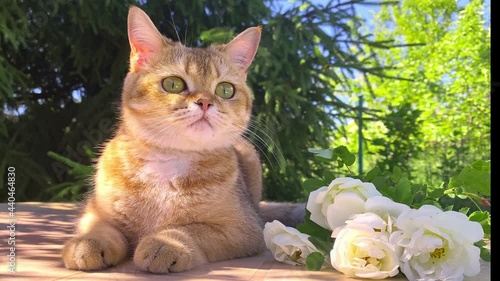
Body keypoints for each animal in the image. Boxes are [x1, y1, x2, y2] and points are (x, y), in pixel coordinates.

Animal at [62, 4, 304, 274]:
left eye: (225, 90)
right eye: (173, 84)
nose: (205, 102)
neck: (167, 162)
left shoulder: (244, 229)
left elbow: (192, 230)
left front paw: (165, 243)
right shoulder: (95, 213)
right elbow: (102, 229)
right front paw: (87, 244)